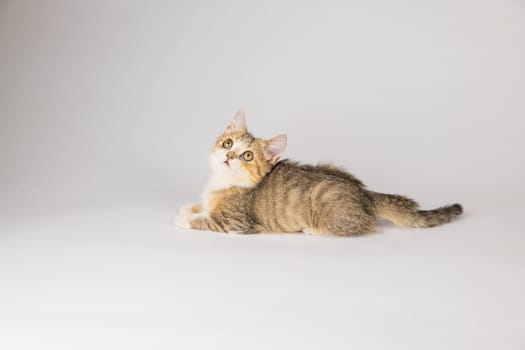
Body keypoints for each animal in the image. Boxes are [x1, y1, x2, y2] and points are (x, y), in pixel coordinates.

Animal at [174, 109, 460, 235]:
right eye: (228, 144)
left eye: (248, 156)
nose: (229, 156)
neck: (222, 182)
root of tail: (365, 193)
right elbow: (201, 207)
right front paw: (188, 208)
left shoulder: (236, 222)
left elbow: (208, 220)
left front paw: (185, 220)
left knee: (362, 228)